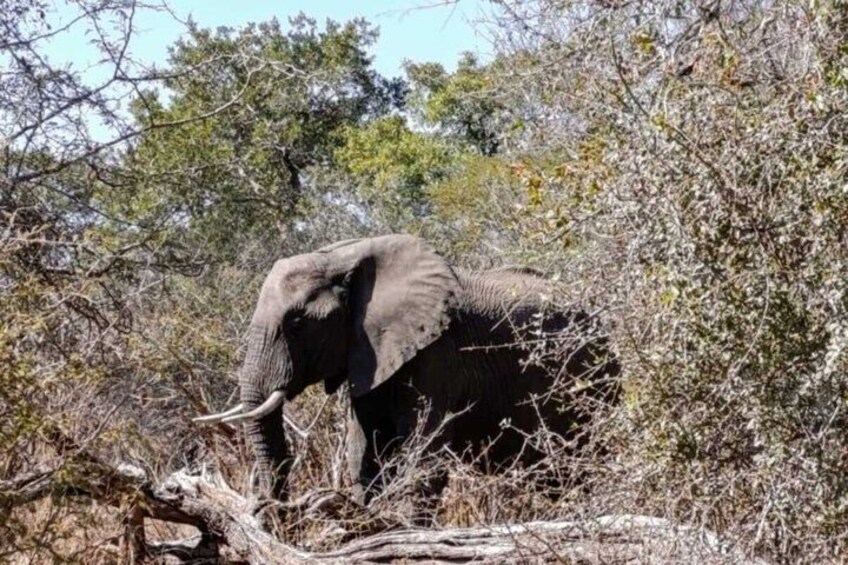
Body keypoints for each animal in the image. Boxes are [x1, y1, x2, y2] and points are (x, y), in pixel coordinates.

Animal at [194, 234, 618, 517]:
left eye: (297, 324)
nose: (268, 511)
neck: (344, 260)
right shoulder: (369, 354)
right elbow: (364, 452)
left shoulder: (438, 353)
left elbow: (423, 455)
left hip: (598, 378)